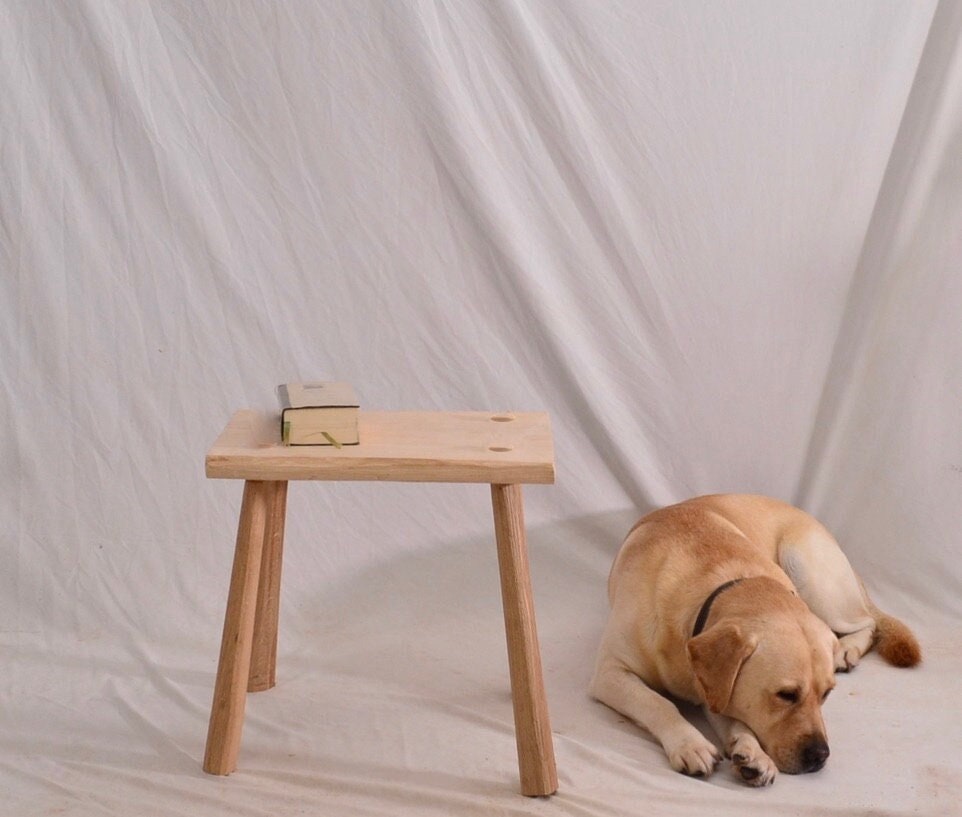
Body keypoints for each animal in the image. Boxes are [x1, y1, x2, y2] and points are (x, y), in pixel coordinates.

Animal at [588, 490, 920, 784]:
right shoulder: (610, 672)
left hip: (808, 570)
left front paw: (750, 749)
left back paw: (846, 648)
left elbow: (736, 718)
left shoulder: (713, 689)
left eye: (826, 694)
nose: (820, 756)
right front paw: (691, 743)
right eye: (785, 694)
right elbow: (657, 703)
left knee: (867, 621)